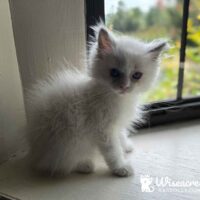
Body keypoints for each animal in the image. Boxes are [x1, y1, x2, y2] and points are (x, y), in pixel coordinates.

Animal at [26, 23, 167, 177]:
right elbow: (113, 151)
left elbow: (120, 135)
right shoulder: (103, 129)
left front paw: (126, 146)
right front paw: (121, 167)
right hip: (68, 139)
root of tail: (35, 153)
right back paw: (84, 165)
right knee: (60, 163)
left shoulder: (115, 124)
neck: (117, 98)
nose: (124, 87)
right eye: (114, 72)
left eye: (136, 75)